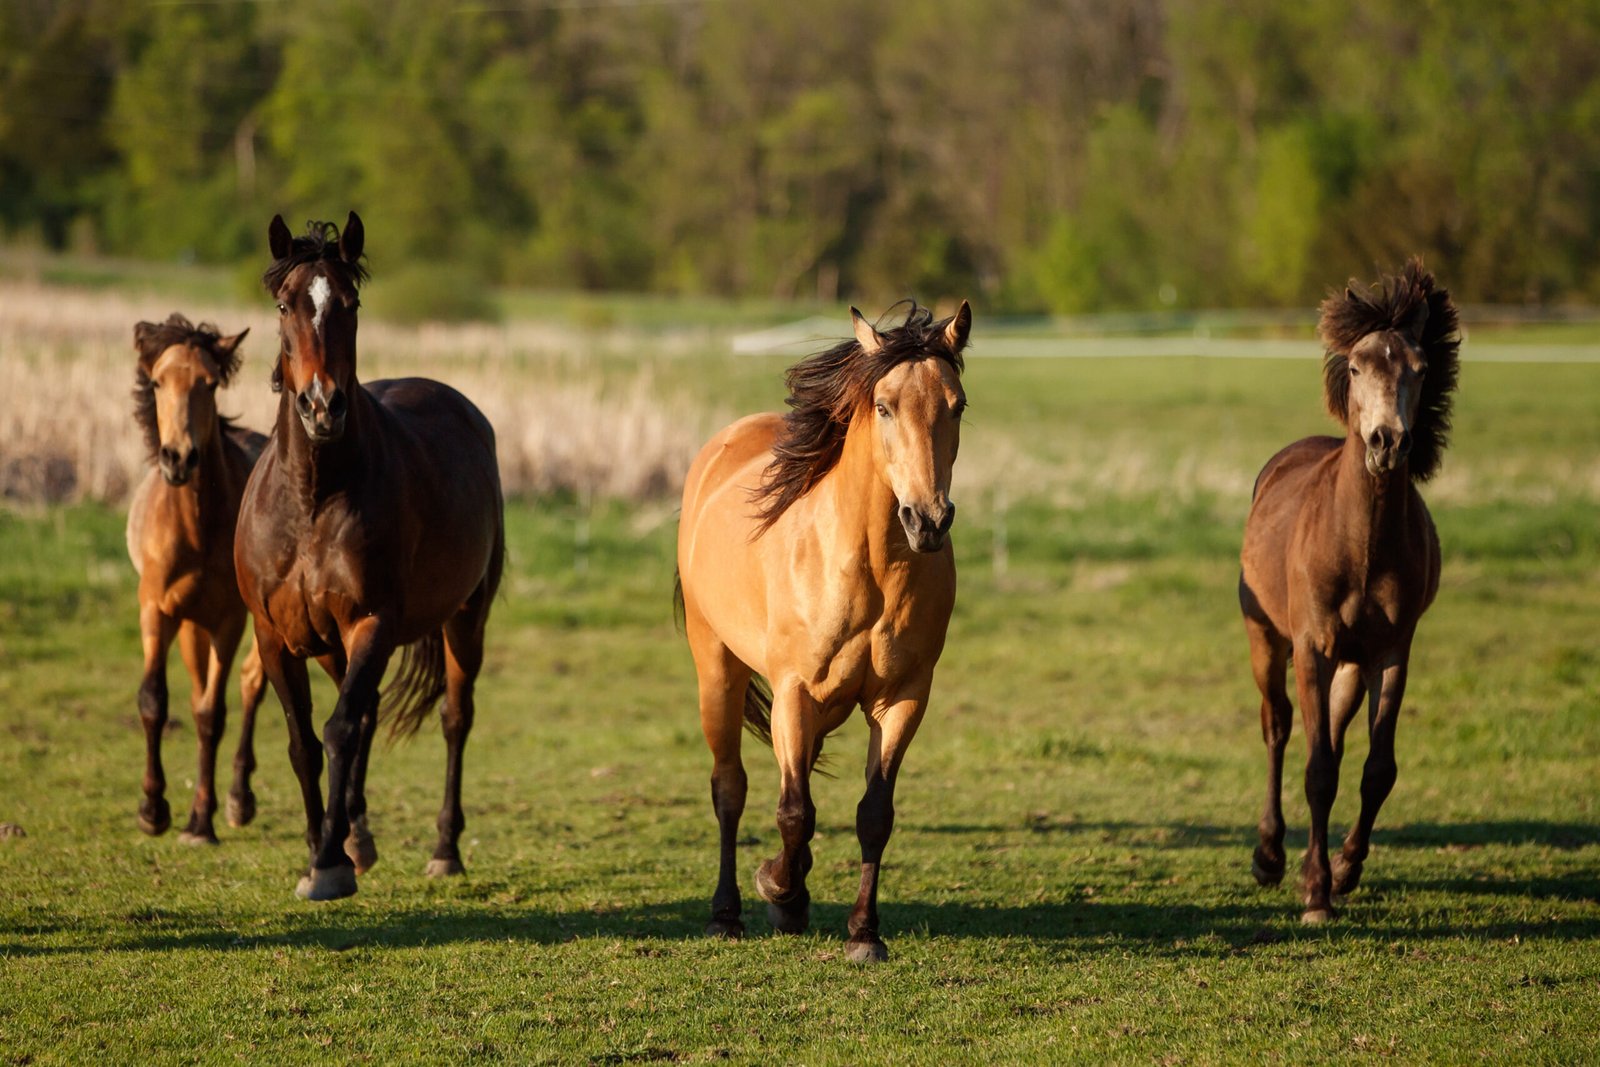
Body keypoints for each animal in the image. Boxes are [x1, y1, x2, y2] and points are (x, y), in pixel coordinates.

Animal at [125, 313, 268, 844]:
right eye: (157, 382)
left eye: (209, 383)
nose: (179, 459)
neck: (195, 526)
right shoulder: (156, 608)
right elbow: (154, 701)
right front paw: (152, 809)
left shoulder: (229, 618)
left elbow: (211, 714)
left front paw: (199, 821)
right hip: (190, 625)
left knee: (251, 683)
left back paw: (239, 799)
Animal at [235, 213, 505, 900]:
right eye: (285, 304)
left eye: (350, 304)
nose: (321, 406)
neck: (312, 498)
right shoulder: (274, 634)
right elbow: (305, 741)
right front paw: (320, 851)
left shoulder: (372, 622)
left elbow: (337, 731)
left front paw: (330, 864)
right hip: (332, 644)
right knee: (369, 714)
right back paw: (359, 836)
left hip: (466, 618)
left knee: (453, 717)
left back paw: (444, 849)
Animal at [676, 301, 970, 962]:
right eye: (884, 405)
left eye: (957, 405)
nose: (928, 520)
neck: (868, 565)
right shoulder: (795, 692)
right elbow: (792, 812)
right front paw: (776, 887)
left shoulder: (903, 698)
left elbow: (874, 815)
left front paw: (864, 934)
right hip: (717, 667)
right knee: (730, 786)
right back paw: (728, 914)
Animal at [1239, 259, 1460, 923]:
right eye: (1358, 367)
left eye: (1420, 368)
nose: (1388, 441)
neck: (1361, 545)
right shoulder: (1311, 647)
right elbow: (1316, 770)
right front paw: (1314, 893)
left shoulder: (1391, 654)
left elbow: (1374, 770)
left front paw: (1343, 869)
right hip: (1267, 640)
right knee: (1279, 727)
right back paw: (1269, 855)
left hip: (1351, 665)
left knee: (1333, 739)